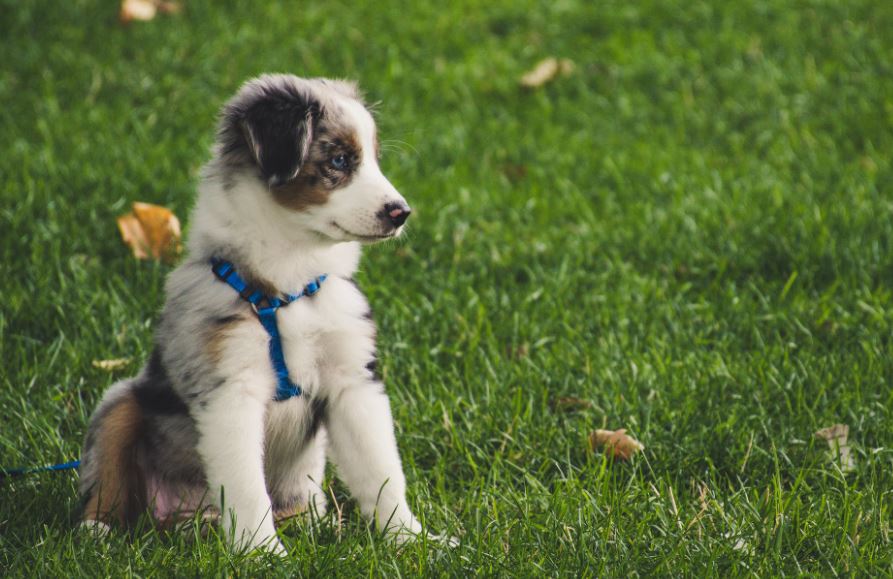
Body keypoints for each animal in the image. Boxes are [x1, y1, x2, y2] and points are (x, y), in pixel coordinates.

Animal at [80, 75, 436, 556]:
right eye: (340, 160)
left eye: (374, 160)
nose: (401, 213)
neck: (289, 284)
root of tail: (185, 516)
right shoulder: (231, 388)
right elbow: (247, 486)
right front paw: (262, 554)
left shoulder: (353, 380)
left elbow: (381, 470)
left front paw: (413, 541)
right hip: (121, 403)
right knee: (107, 476)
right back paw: (97, 530)